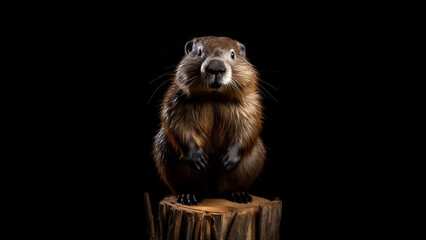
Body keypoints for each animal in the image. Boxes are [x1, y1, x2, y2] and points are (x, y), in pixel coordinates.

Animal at [153, 35, 266, 204]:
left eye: (232, 54)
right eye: (199, 52)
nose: (216, 68)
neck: (214, 96)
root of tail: (212, 192)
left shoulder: (250, 102)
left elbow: (250, 126)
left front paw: (227, 160)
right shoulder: (176, 98)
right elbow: (176, 124)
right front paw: (199, 159)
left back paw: (239, 195)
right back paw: (189, 196)